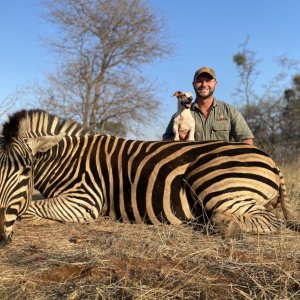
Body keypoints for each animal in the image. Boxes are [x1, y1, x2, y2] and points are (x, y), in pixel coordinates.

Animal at [0, 109, 298, 245]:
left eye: (26, 171)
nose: (1, 239)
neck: (66, 160)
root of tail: (271, 160)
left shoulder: (85, 200)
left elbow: (29, 208)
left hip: (211, 179)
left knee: (271, 222)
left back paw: (226, 226)